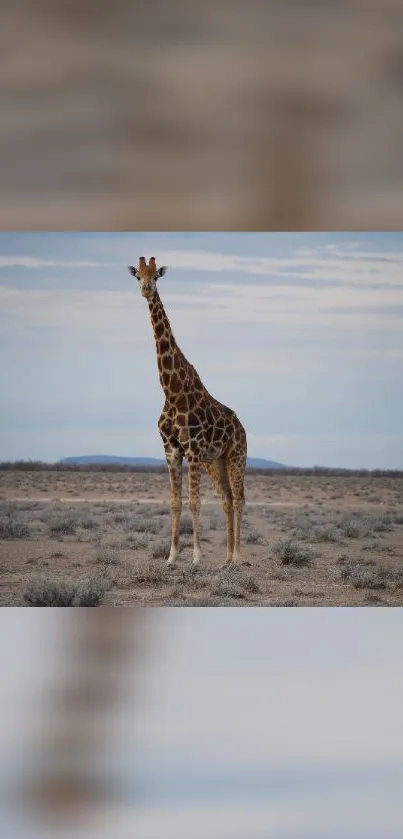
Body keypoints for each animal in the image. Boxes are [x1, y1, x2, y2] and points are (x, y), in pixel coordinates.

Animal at [129, 256, 249, 568]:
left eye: (156, 276)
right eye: (138, 277)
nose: (146, 290)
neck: (171, 392)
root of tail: (242, 427)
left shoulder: (192, 450)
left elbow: (195, 502)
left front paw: (196, 557)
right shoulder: (172, 450)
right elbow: (176, 502)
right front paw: (171, 556)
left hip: (236, 455)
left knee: (239, 497)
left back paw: (238, 556)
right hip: (216, 460)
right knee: (226, 498)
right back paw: (227, 557)